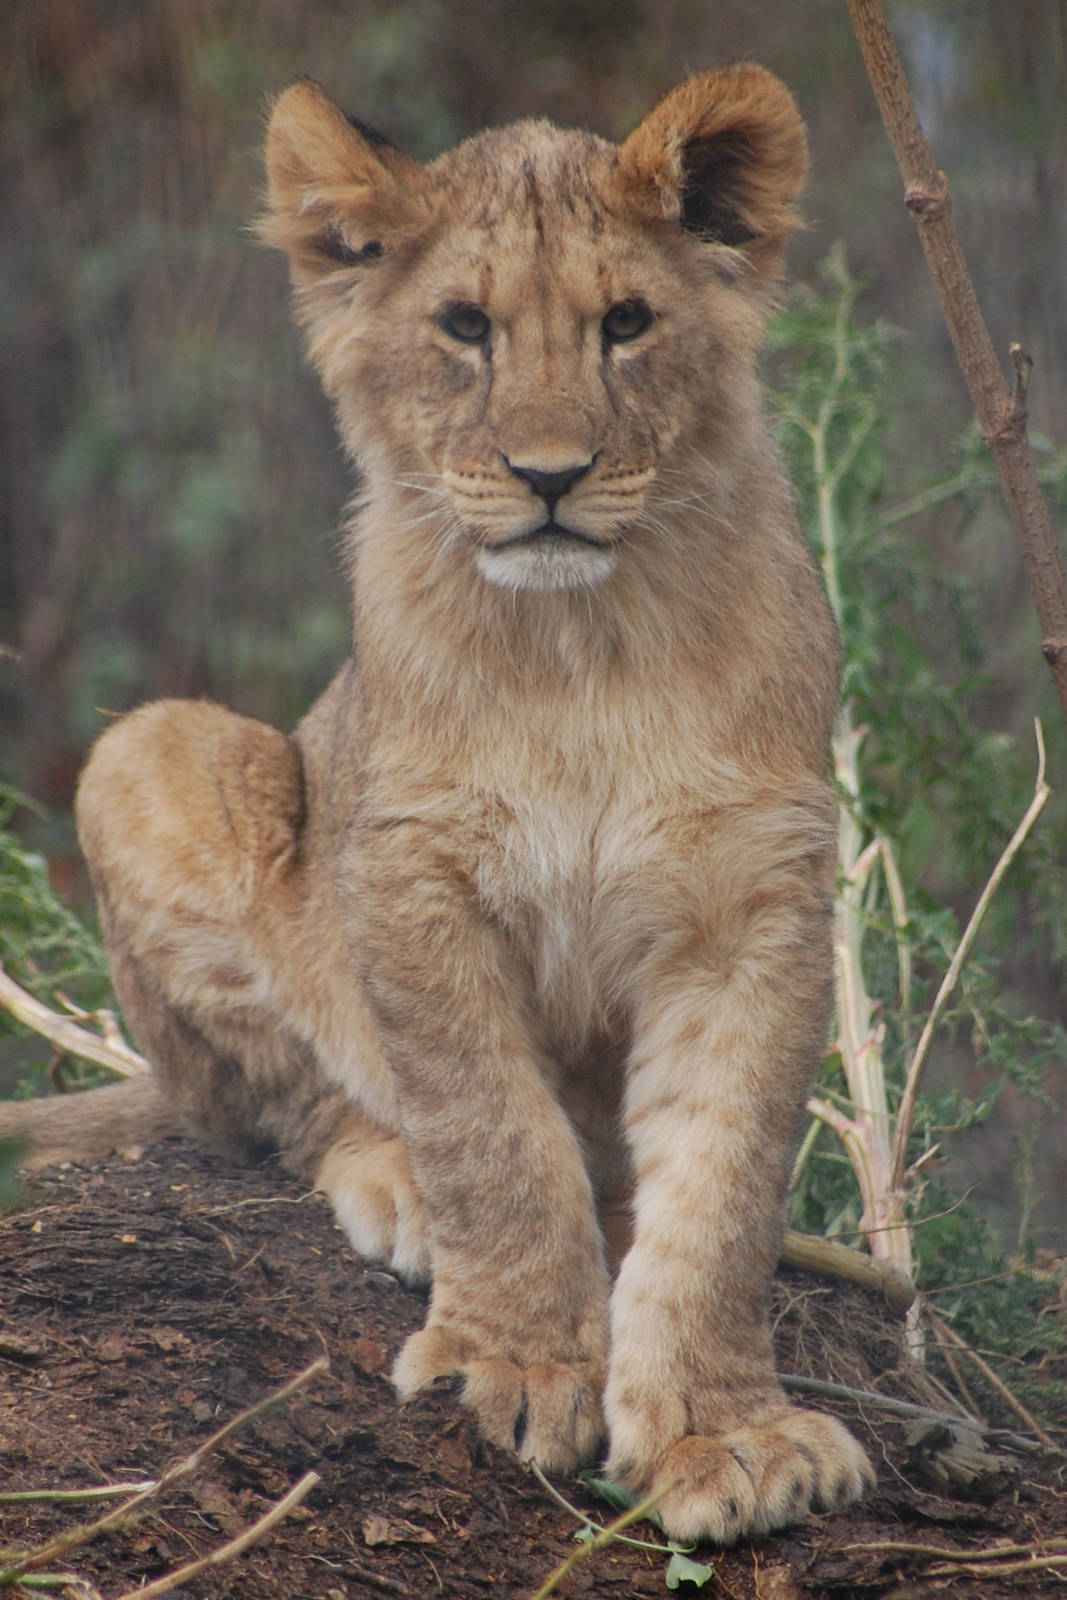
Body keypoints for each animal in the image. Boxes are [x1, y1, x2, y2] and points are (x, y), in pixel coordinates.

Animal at [1, 65, 874, 1542]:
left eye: (625, 324)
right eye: (464, 328)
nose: (549, 475)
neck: (585, 645)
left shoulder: (753, 897)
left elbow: (723, 1183)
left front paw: (724, 1433)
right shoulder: (409, 867)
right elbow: (486, 1124)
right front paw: (512, 1360)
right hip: (165, 754)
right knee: (282, 1107)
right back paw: (394, 1182)